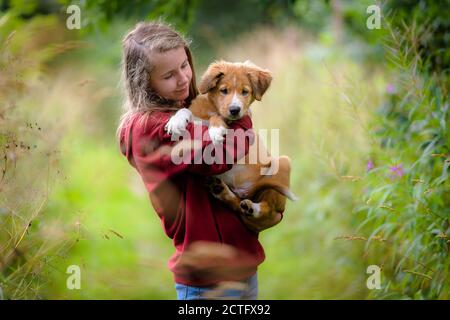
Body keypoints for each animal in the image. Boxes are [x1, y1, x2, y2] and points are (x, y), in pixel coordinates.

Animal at [164, 61, 296, 232]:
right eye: (223, 90)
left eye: (245, 92)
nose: (235, 110)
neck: (212, 108)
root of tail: (246, 192)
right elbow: (186, 110)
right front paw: (176, 121)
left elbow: (217, 118)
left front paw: (216, 129)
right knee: (238, 205)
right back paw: (223, 192)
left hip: (282, 163)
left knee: (267, 209)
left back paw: (253, 208)